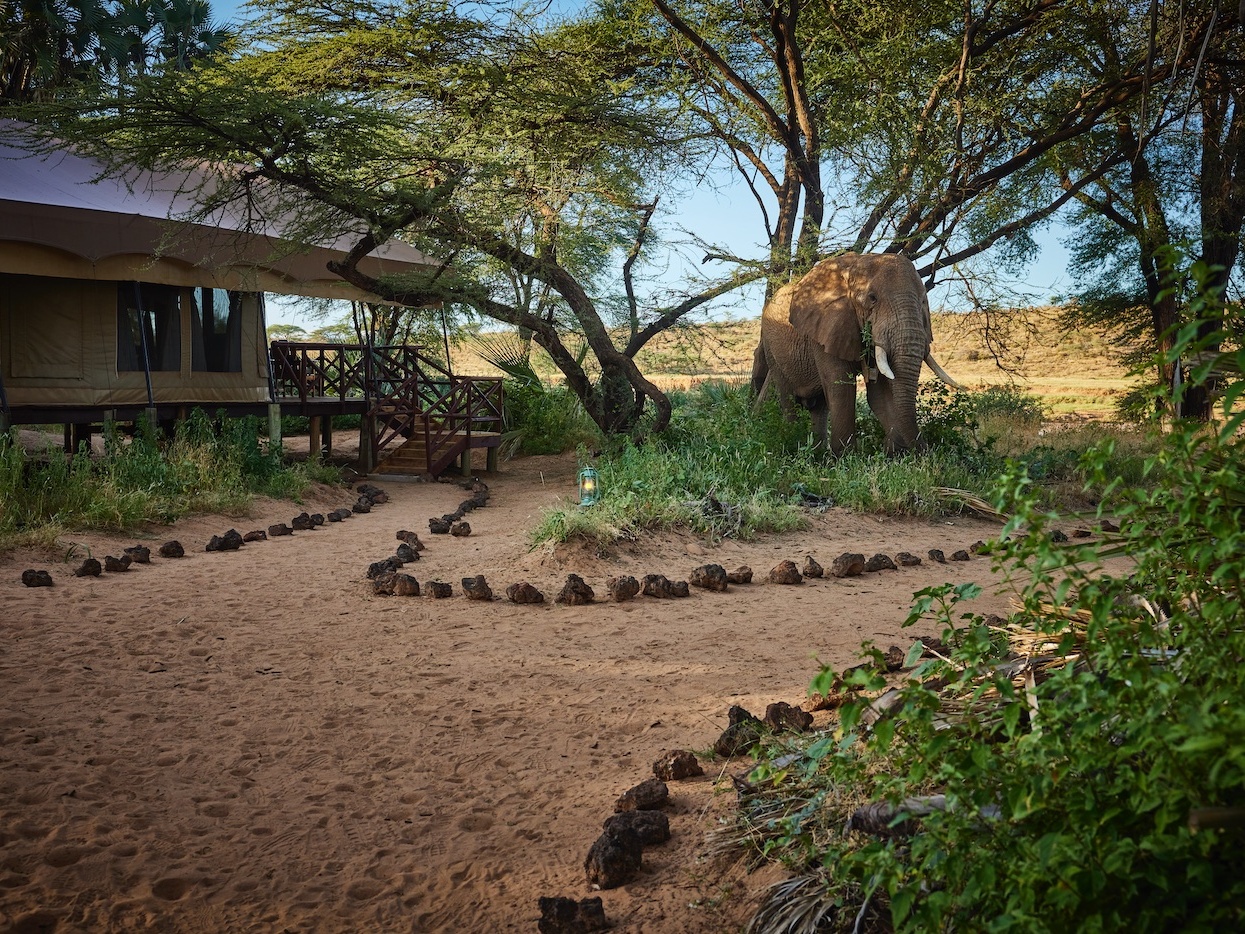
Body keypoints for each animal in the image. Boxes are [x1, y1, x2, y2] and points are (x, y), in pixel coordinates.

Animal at [751, 252, 962, 455]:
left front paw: (895, 454)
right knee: (788, 399)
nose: (929, 452)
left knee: (819, 407)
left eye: (923, 300)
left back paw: (817, 454)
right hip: (771, 348)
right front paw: (845, 457)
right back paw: (794, 442)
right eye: (872, 298)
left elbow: (879, 392)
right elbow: (840, 386)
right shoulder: (826, 327)